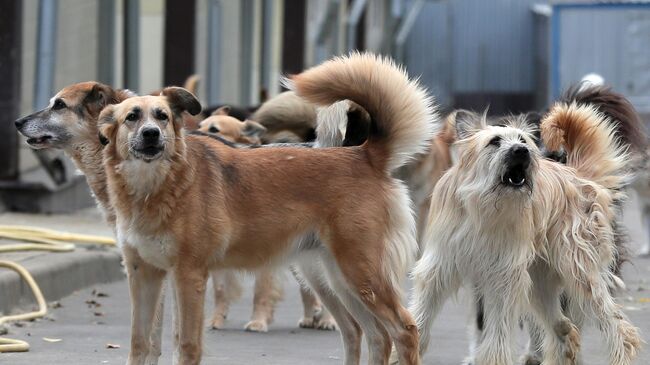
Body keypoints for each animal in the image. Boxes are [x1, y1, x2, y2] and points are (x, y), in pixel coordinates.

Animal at [98, 53, 438, 364]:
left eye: (163, 116)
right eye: (132, 117)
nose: (151, 134)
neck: (158, 184)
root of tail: (364, 155)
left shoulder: (189, 275)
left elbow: (187, 345)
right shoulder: (144, 275)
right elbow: (140, 343)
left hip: (362, 274)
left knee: (404, 331)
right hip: (338, 279)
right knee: (373, 335)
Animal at [408, 106, 640, 364]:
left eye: (522, 140)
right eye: (495, 141)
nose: (522, 151)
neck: (482, 207)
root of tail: (575, 173)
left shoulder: (503, 277)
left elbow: (496, 337)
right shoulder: (440, 267)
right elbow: (421, 317)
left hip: (580, 274)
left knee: (616, 327)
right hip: (540, 283)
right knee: (565, 330)